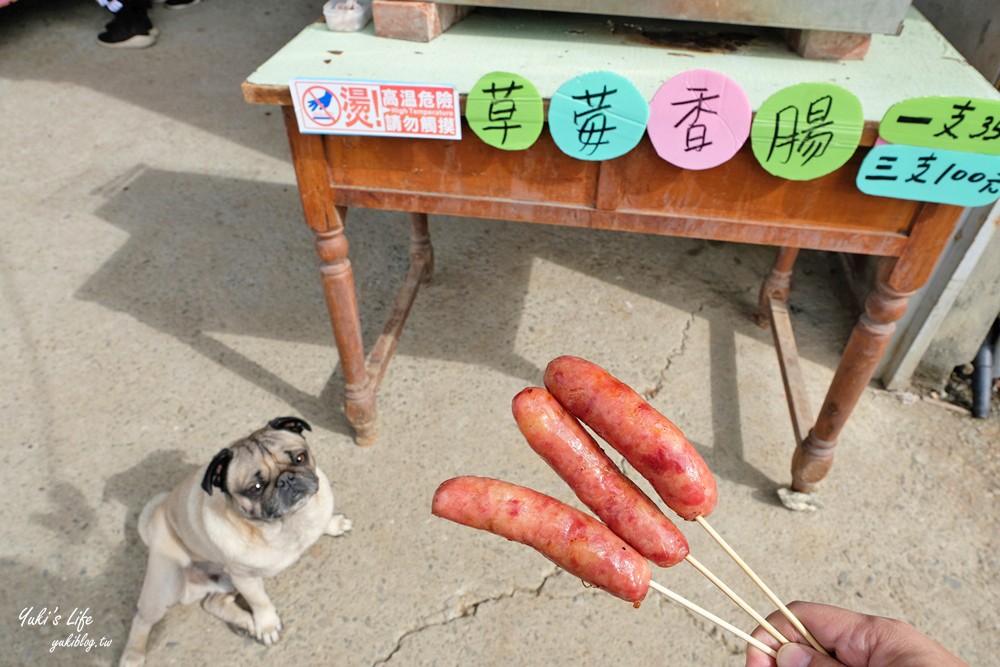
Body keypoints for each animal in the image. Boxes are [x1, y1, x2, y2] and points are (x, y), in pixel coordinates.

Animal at [120, 414, 352, 664]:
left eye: (300, 458)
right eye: (256, 487)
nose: (286, 480)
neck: (287, 523)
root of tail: (153, 523)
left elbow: (323, 520)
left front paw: (334, 524)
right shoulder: (245, 579)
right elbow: (260, 601)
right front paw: (267, 626)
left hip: (226, 581)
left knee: (211, 602)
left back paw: (245, 623)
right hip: (166, 586)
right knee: (142, 618)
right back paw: (132, 656)